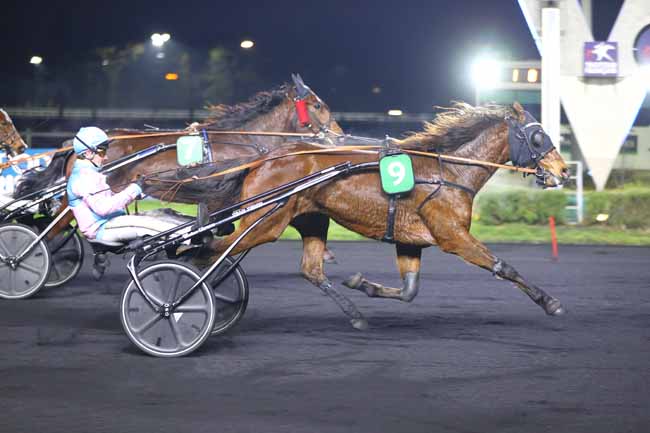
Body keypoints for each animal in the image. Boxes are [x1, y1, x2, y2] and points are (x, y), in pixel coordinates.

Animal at [13, 74, 340, 264]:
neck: (244, 140)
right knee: (54, 228)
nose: (338, 134)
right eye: (319, 105)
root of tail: (73, 145)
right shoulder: (225, 194)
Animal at [196, 101, 568, 330]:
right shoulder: (453, 235)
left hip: (309, 218)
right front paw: (550, 302)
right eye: (538, 137)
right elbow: (503, 267)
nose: (563, 171)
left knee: (310, 269)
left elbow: (409, 290)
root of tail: (264, 159)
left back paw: (356, 316)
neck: (447, 172)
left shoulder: (411, 241)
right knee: (211, 250)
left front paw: (363, 284)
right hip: (267, 222)